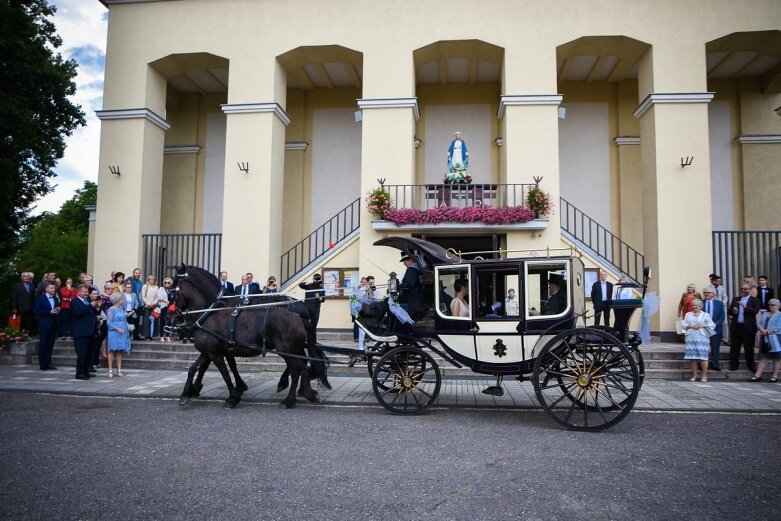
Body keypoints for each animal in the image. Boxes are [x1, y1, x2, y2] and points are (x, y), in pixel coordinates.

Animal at [175, 266, 318, 408]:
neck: (209, 311)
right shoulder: (218, 350)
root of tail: (301, 307)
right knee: (301, 363)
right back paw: (299, 390)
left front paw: (234, 392)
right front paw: (191, 390)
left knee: (299, 366)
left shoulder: (217, 350)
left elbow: (223, 369)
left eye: (174, 290)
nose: (175, 316)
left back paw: (291, 391)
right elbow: (200, 368)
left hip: (288, 348)